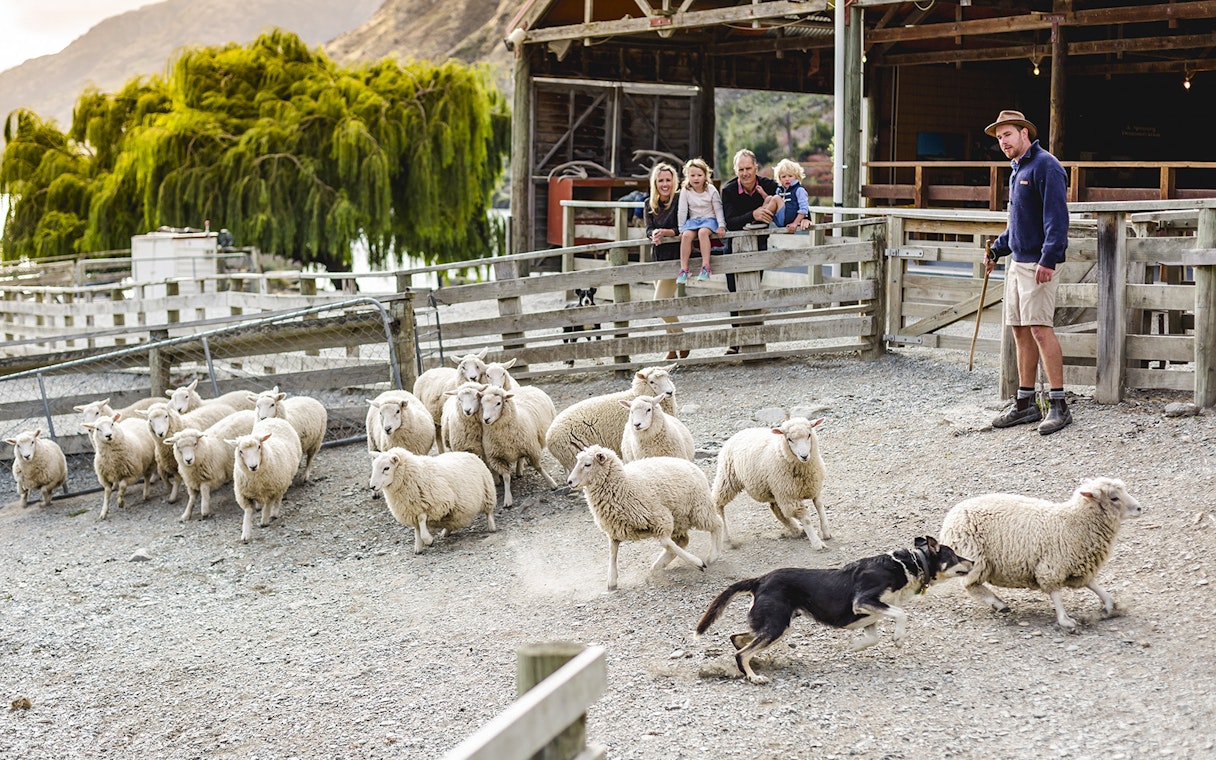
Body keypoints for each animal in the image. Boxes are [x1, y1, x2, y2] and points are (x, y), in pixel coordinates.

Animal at [369, 447, 497, 555]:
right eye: (373, 467)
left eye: (386, 468)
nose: (372, 487)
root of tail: (469, 453)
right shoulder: (412, 510)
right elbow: (417, 529)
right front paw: (418, 547)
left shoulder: (438, 504)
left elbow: (422, 520)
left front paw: (428, 540)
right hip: (455, 510)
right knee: (452, 521)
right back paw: (445, 532)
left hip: (488, 492)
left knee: (489, 512)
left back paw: (492, 527)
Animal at [545, 364, 678, 474]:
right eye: (651, 381)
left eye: (667, 377)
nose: (669, 392)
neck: (634, 396)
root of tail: (548, 436)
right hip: (573, 456)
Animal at [567, 444, 723, 591]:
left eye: (587, 464)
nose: (569, 482)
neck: (625, 485)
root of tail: (689, 463)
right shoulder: (614, 531)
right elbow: (612, 553)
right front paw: (612, 581)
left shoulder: (661, 516)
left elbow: (666, 543)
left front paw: (697, 563)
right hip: (681, 518)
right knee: (682, 540)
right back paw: (659, 565)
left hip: (699, 508)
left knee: (717, 524)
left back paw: (712, 555)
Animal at [711, 417, 830, 551]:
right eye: (789, 439)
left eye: (809, 435)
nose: (804, 456)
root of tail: (739, 433)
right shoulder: (790, 497)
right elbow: (806, 518)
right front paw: (817, 543)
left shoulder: (815, 487)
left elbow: (820, 506)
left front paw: (826, 532)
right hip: (727, 478)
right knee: (718, 503)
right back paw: (726, 538)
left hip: (773, 488)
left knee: (776, 509)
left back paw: (797, 530)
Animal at [939, 477, 1144, 631]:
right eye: (1114, 498)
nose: (1139, 508)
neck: (1074, 522)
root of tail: (950, 518)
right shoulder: (1052, 565)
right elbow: (1055, 593)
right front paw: (1065, 620)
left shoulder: (1079, 562)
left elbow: (1093, 584)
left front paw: (1109, 606)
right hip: (975, 557)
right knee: (970, 585)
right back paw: (997, 603)